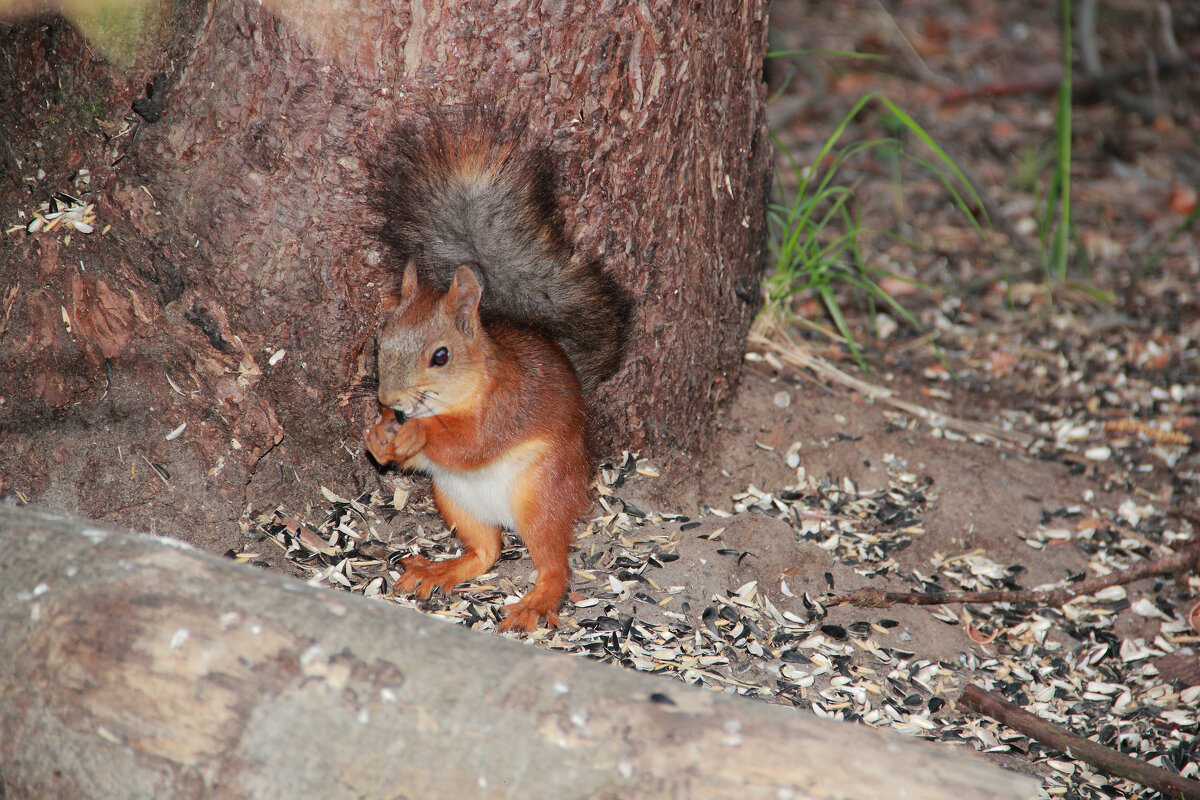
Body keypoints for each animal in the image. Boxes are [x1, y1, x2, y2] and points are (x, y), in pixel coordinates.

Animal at [362, 117, 628, 633]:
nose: (390, 401)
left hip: (541, 493)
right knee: (487, 551)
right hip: (454, 499)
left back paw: (536, 601)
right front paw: (379, 437)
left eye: (440, 356)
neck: (460, 396)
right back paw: (438, 570)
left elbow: (472, 444)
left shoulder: (507, 407)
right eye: (380, 342)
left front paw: (416, 434)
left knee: (553, 562)